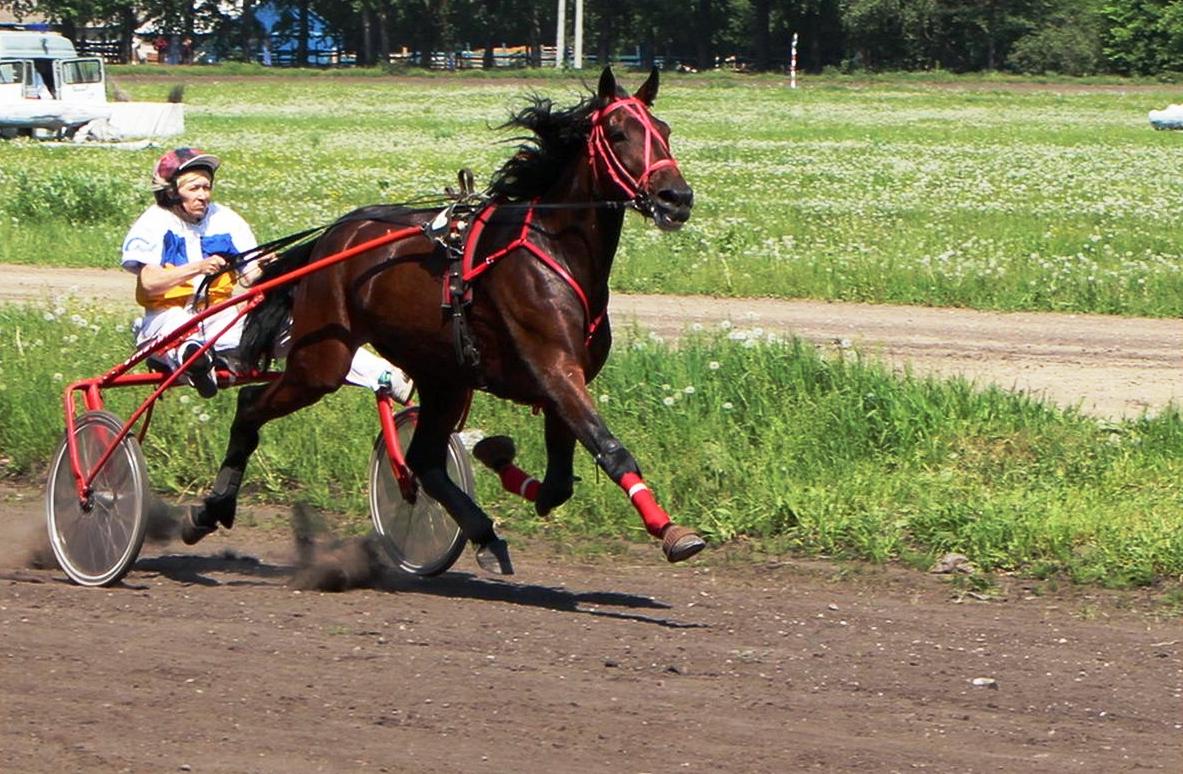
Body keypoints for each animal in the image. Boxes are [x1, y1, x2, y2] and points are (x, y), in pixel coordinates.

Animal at [182, 68, 700, 575]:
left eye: (665, 131)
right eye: (618, 132)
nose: (676, 197)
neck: (555, 250)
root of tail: (334, 234)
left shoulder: (563, 380)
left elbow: (558, 485)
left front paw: (498, 457)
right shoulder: (554, 368)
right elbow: (610, 449)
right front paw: (672, 531)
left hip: (441, 374)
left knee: (424, 461)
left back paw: (483, 533)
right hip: (322, 359)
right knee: (251, 405)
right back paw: (211, 509)